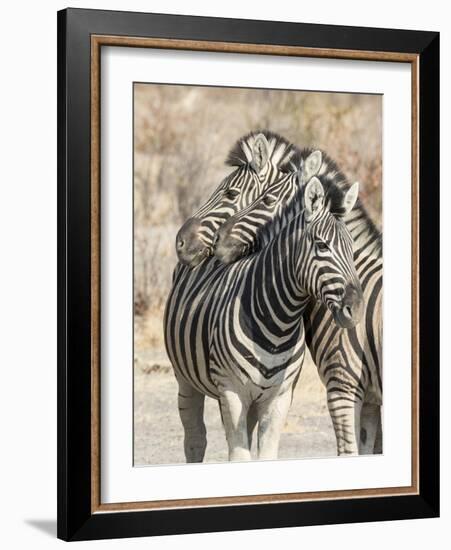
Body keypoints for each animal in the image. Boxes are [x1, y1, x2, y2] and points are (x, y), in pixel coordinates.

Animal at [164, 172, 362, 462]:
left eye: (352, 249)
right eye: (322, 246)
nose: (356, 308)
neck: (278, 321)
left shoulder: (279, 397)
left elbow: (264, 454)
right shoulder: (232, 391)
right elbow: (238, 455)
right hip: (186, 379)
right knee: (195, 440)